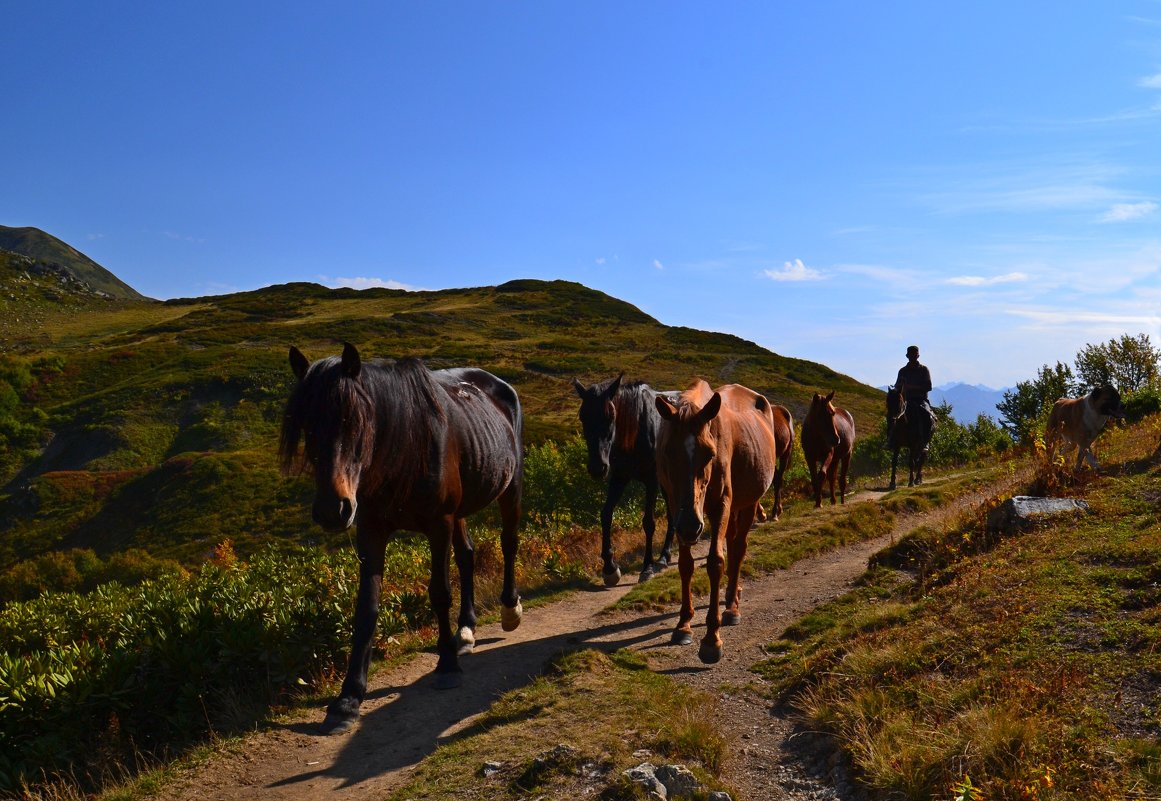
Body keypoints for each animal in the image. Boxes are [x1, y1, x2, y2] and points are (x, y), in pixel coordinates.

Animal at [278, 341, 524, 729]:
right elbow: (367, 607)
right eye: (307, 426)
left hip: (509, 488)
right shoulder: (372, 530)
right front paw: (348, 697)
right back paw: (466, 630)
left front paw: (447, 666)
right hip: (461, 510)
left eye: (354, 421)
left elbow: (440, 593)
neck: (404, 448)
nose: (332, 509)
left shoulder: (439, 523)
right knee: (467, 555)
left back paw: (509, 610)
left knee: (509, 543)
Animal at [573, 373, 678, 587]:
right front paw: (610, 568)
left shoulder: (652, 480)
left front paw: (647, 568)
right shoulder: (619, 478)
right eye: (583, 417)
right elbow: (606, 515)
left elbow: (648, 523)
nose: (597, 467)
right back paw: (664, 556)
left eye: (611, 416)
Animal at [659, 378, 775, 659]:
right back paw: (734, 595)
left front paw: (712, 638)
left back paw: (732, 606)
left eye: (709, 454)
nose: (691, 525)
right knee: (732, 545)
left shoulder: (721, 505)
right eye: (667, 452)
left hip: (748, 503)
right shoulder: (677, 509)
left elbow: (715, 562)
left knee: (738, 548)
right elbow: (686, 565)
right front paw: (684, 624)